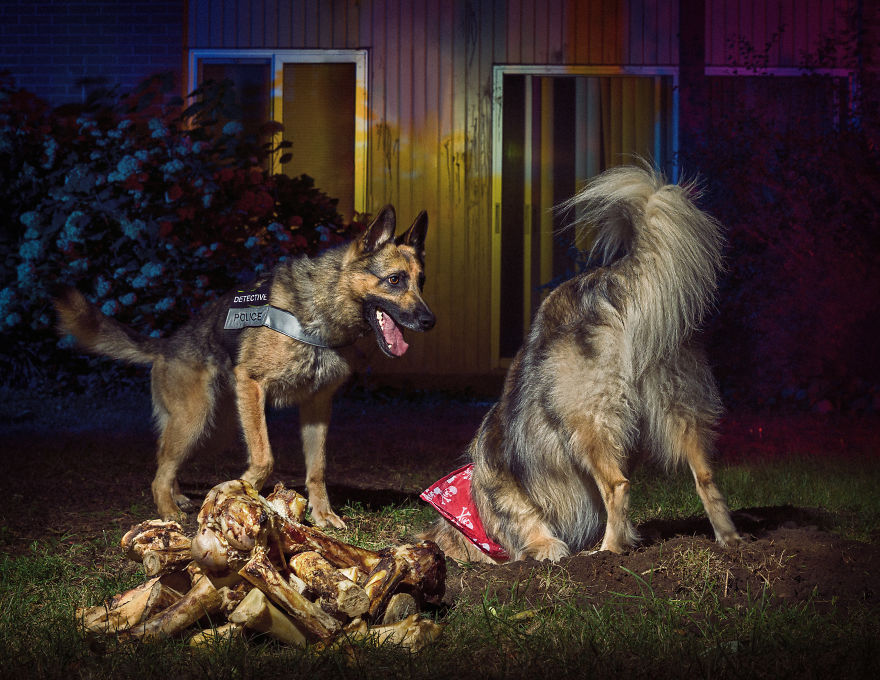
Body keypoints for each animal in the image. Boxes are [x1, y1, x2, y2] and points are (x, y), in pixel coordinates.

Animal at [55, 207, 434, 524]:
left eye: (421, 282)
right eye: (395, 280)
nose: (430, 321)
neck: (321, 308)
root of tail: (166, 344)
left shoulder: (317, 407)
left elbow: (318, 468)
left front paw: (323, 513)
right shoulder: (252, 384)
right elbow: (264, 458)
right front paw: (237, 488)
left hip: (211, 429)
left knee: (165, 458)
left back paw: (177, 498)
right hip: (197, 420)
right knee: (160, 470)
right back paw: (167, 510)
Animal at [422, 166, 740, 564]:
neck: (473, 507)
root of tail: (607, 283)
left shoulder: (514, 500)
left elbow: (536, 531)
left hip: (585, 423)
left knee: (618, 485)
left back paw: (608, 550)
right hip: (678, 402)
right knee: (705, 475)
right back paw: (728, 538)